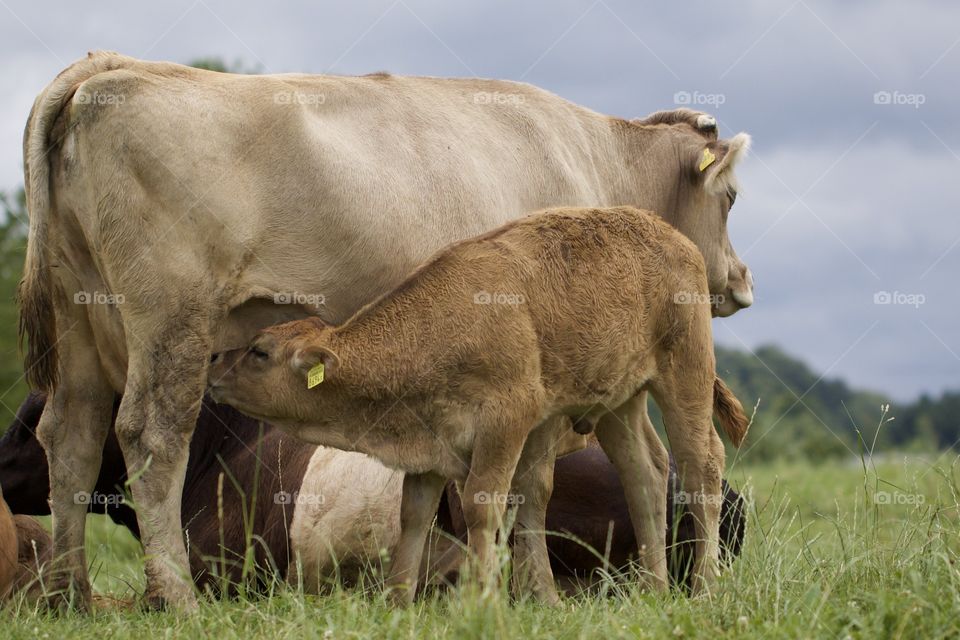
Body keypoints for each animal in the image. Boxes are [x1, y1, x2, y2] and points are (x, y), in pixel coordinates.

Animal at [208, 206, 750, 604]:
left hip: (685, 375)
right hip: (621, 402)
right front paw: (398, 602)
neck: (438, 329)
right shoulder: (428, 448)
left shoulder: (504, 423)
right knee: (646, 476)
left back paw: (705, 589)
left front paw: (481, 600)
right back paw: (653, 590)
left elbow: (482, 507)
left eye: (259, 352)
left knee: (701, 467)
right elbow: (413, 517)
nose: (212, 366)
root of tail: (672, 235)